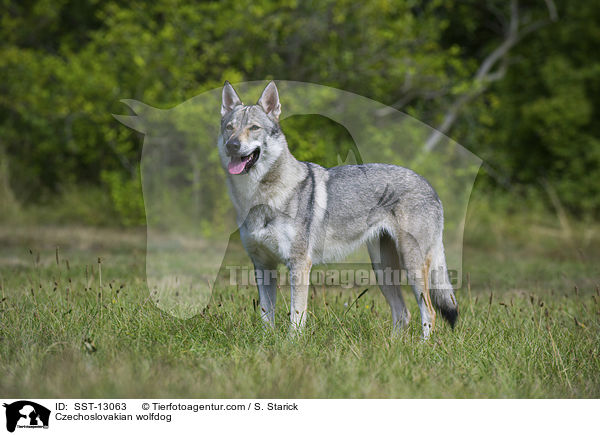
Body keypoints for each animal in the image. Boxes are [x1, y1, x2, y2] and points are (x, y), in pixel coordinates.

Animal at [218, 82, 458, 340]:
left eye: (254, 128)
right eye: (230, 128)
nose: (232, 145)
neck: (258, 199)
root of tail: (429, 185)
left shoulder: (299, 265)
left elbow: (296, 317)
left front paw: (291, 345)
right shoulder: (263, 266)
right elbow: (266, 316)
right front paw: (266, 343)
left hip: (412, 266)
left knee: (429, 312)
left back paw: (423, 346)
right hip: (383, 272)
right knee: (403, 313)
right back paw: (393, 347)